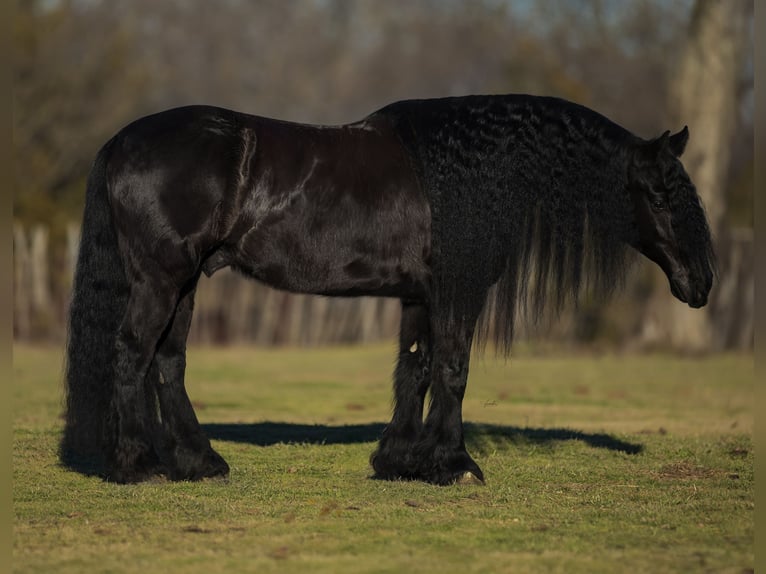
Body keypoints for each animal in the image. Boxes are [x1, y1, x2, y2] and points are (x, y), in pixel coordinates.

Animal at [61, 94, 720, 486]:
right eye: (658, 193)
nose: (702, 283)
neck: (474, 172)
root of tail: (122, 141)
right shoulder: (456, 290)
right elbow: (453, 368)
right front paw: (454, 464)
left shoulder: (420, 294)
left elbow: (416, 369)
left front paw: (400, 459)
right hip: (162, 278)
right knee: (132, 355)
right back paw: (138, 464)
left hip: (187, 282)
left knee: (167, 362)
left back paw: (199, 462)